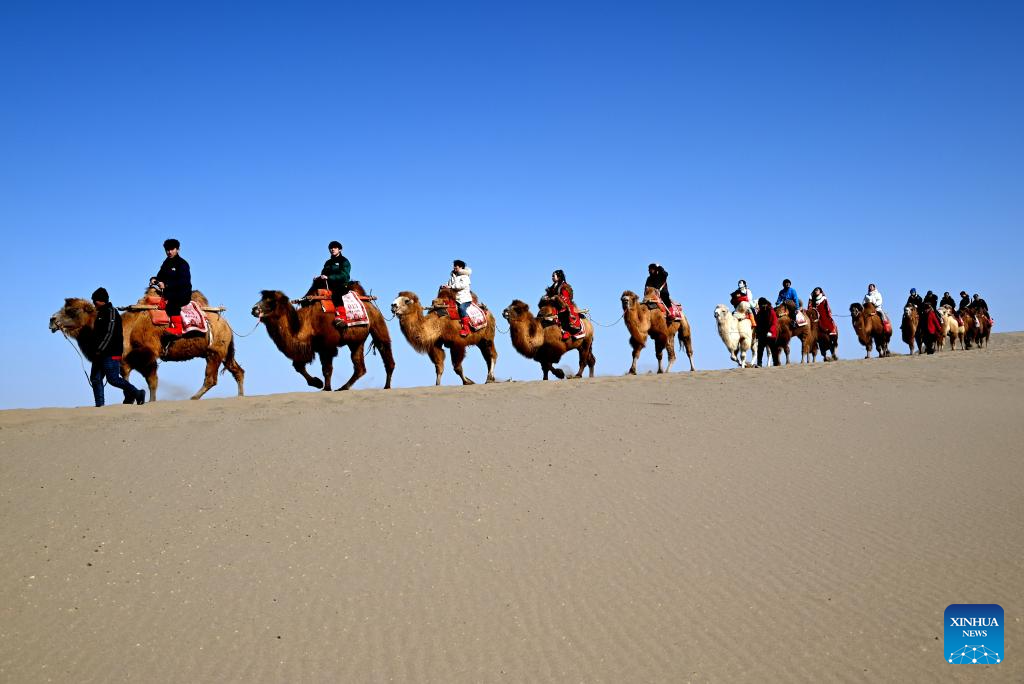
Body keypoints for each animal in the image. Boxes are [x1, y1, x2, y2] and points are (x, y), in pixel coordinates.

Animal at [50, 288, 245, 401]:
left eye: (72, 310)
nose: (52, 320)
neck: (124, 328)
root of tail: (226, 324)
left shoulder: (147, 355)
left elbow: (151, 381)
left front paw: (149, 401)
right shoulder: (124, 361)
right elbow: (125, 380)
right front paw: (130, 400)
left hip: (214, 351)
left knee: (211, 378)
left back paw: (194, 397)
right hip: (222, 351)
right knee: (237, 370)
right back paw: (241, 395)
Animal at [250, 282, 395, 389]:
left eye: (270, 301)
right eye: (262, 299)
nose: (254, 309)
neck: (304, 325)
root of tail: (368, 302)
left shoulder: (327, 346)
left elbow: (327, 369)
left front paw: (326, 388)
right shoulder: (312, 347)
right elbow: (298, 366)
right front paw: (317, 383)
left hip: (378, 324)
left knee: (385, 351)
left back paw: (387, 386)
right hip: (356, 342)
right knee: (359, 366)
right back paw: (344, 387)